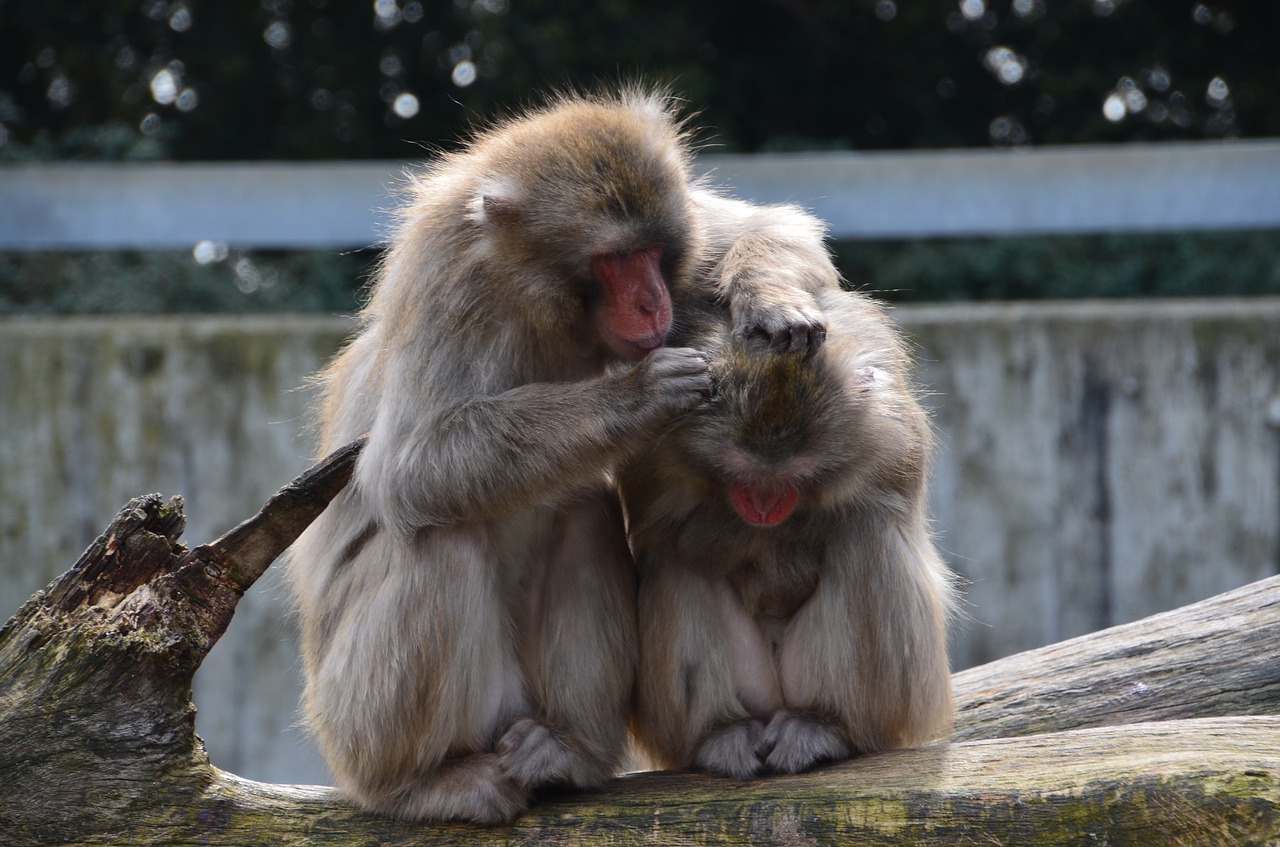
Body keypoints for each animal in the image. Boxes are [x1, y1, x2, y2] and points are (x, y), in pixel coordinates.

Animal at [285, 89, 829, 823]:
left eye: (653, 252)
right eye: (613, 261)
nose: (653, 301)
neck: (538, 305)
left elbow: (773, 223)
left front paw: (774, 301)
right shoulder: (450, 283)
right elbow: (409, 466)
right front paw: (636, 397)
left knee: (582, 511)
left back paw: (567, 752)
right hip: (352, 718)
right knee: (441, 535)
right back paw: (420, 783)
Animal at [619, 281, 962, 777]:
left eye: (794, 476)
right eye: (740, 473)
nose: (764, 508)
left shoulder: (893, 439)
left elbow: (870, 506)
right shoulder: (650, 454)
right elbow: (661, 531)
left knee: (866, 532)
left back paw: (823, 724)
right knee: (672, 557)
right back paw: (721, 733)